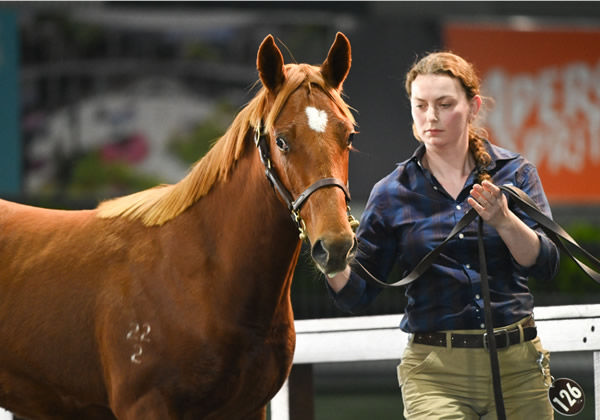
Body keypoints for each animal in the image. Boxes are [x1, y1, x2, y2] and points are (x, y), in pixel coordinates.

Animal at [0, 33, 356, 420]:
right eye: (281, 140)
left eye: (348, 136)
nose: (335, 245)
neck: (204, 277)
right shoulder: (146, 406)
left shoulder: (250, 409)